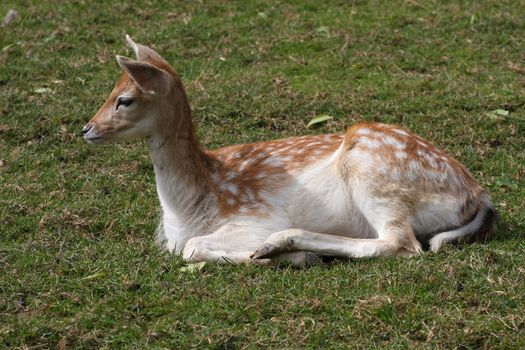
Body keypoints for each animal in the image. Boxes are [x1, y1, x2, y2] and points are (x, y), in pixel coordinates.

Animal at [82, 36, 496, 266]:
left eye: (125, 99)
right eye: (109, 91)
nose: (87, 129)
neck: (188, 209)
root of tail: (478, 196)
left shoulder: (254, 218)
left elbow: (193, 248)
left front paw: (275, 256)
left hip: (376, 175)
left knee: (402, 244)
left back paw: (285, 245)